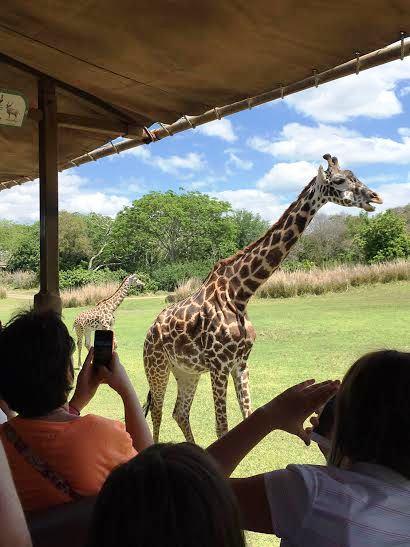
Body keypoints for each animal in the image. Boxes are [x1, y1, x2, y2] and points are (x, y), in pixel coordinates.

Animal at [143, 152, 382, 444]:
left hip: (186, 371)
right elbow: (222, 427)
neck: (240, 293)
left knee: (179, 412)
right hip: (157, 366)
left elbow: (247, 415)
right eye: (339, 180)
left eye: (354, 175)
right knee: (157, 412)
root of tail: (150, 331)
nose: (375, 197)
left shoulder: (241, 362)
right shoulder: (219, 365)